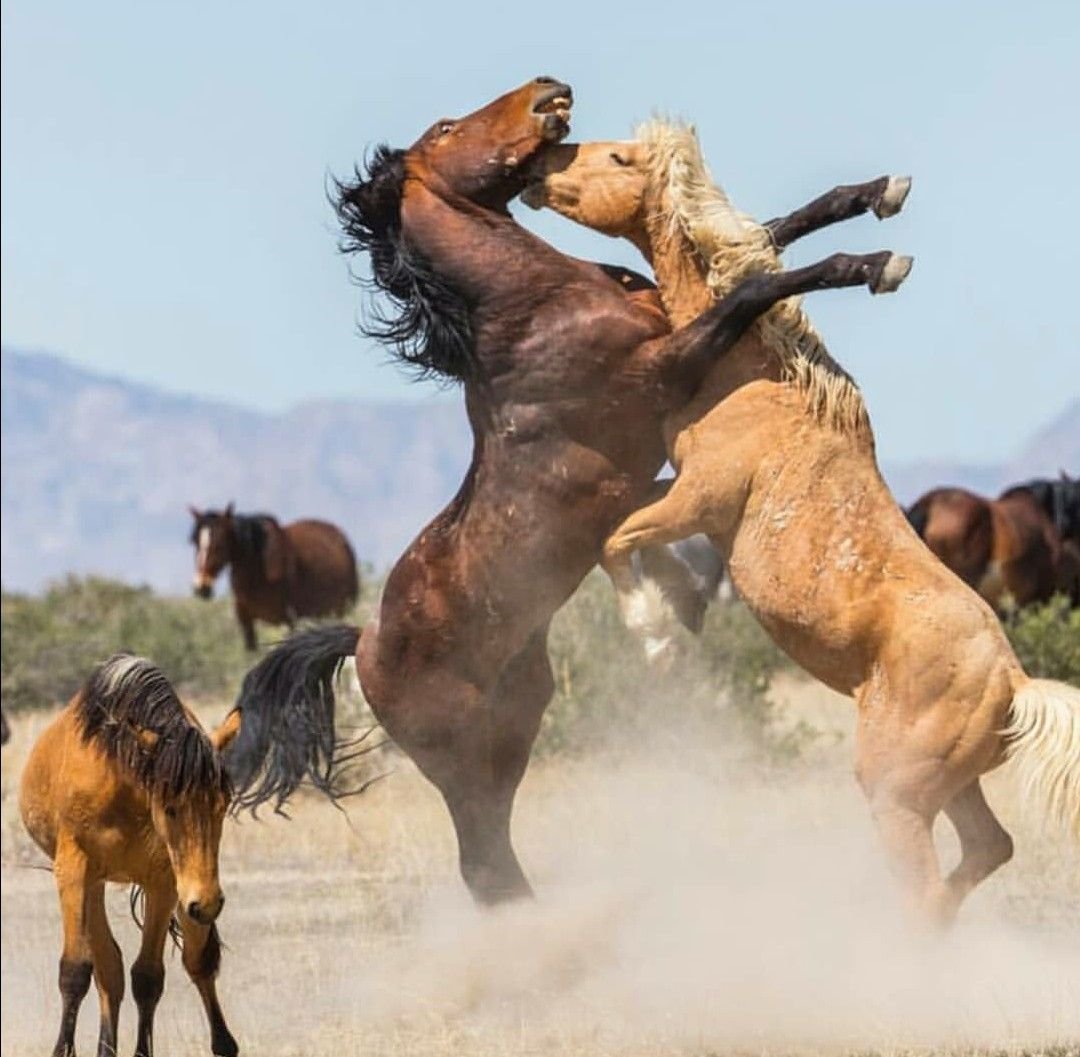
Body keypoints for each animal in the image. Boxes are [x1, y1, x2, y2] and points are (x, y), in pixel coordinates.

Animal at [19, 656, 243, 1053]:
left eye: (223, 804)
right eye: (170, 807)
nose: (207, 903)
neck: (121, 779)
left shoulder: (164, 881)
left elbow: (148, 977)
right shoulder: (73, 870)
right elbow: (75, 971)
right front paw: (62, 1050)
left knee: (195, 962)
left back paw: (223, 1043)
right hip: (95, 885)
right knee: (107, 970)